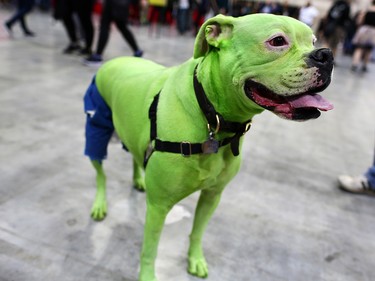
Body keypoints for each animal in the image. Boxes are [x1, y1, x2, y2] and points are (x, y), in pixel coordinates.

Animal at [83, 13, 334, 280]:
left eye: (313, 41)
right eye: (277, 41)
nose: (326, 55)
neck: (211, 114)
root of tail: (114, 61)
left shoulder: (212, 196)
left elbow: (197, 231)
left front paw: (195, 260)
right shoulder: (158, 206)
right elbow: (150, 249)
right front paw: (148, 276)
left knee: (133, 155)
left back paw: (138, 179)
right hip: (95, 132)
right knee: (100, 174)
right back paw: (100, 204)